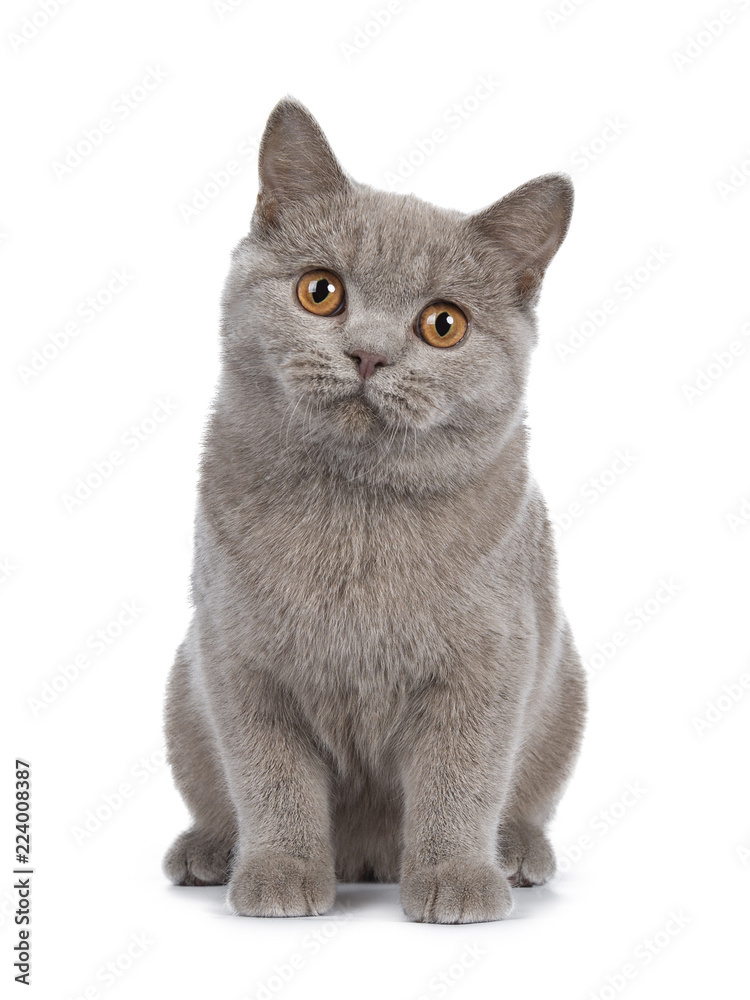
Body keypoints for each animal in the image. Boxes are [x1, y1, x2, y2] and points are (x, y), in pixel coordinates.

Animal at [163, 95, 588, 920]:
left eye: (443, 324)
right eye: (320, 290)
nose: (368, 353)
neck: (356, 516)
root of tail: (367, 860)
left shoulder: (490, 663)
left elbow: (462, 778)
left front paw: (457, 878)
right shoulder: (238, 658)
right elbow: (269, 776)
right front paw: (280, 873)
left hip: (567, 687)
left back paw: (517, 852)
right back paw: (209, 851)